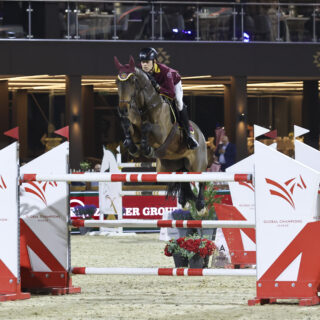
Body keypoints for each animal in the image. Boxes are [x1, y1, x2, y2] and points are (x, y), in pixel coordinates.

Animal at [114, 56, 208, 211]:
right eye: (117, 82)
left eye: (132, 81)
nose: (122, 110)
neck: (145, 106)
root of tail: (200, 134)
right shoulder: (135, 131)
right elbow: (128, 126)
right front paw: (133, 147)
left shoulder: (161, 134)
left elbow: (146, 127)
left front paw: (146, 148)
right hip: (167, 167)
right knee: (183, 178)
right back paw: (183, 201)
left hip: (197, 164)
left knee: (201, 179)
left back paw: (200, 205)